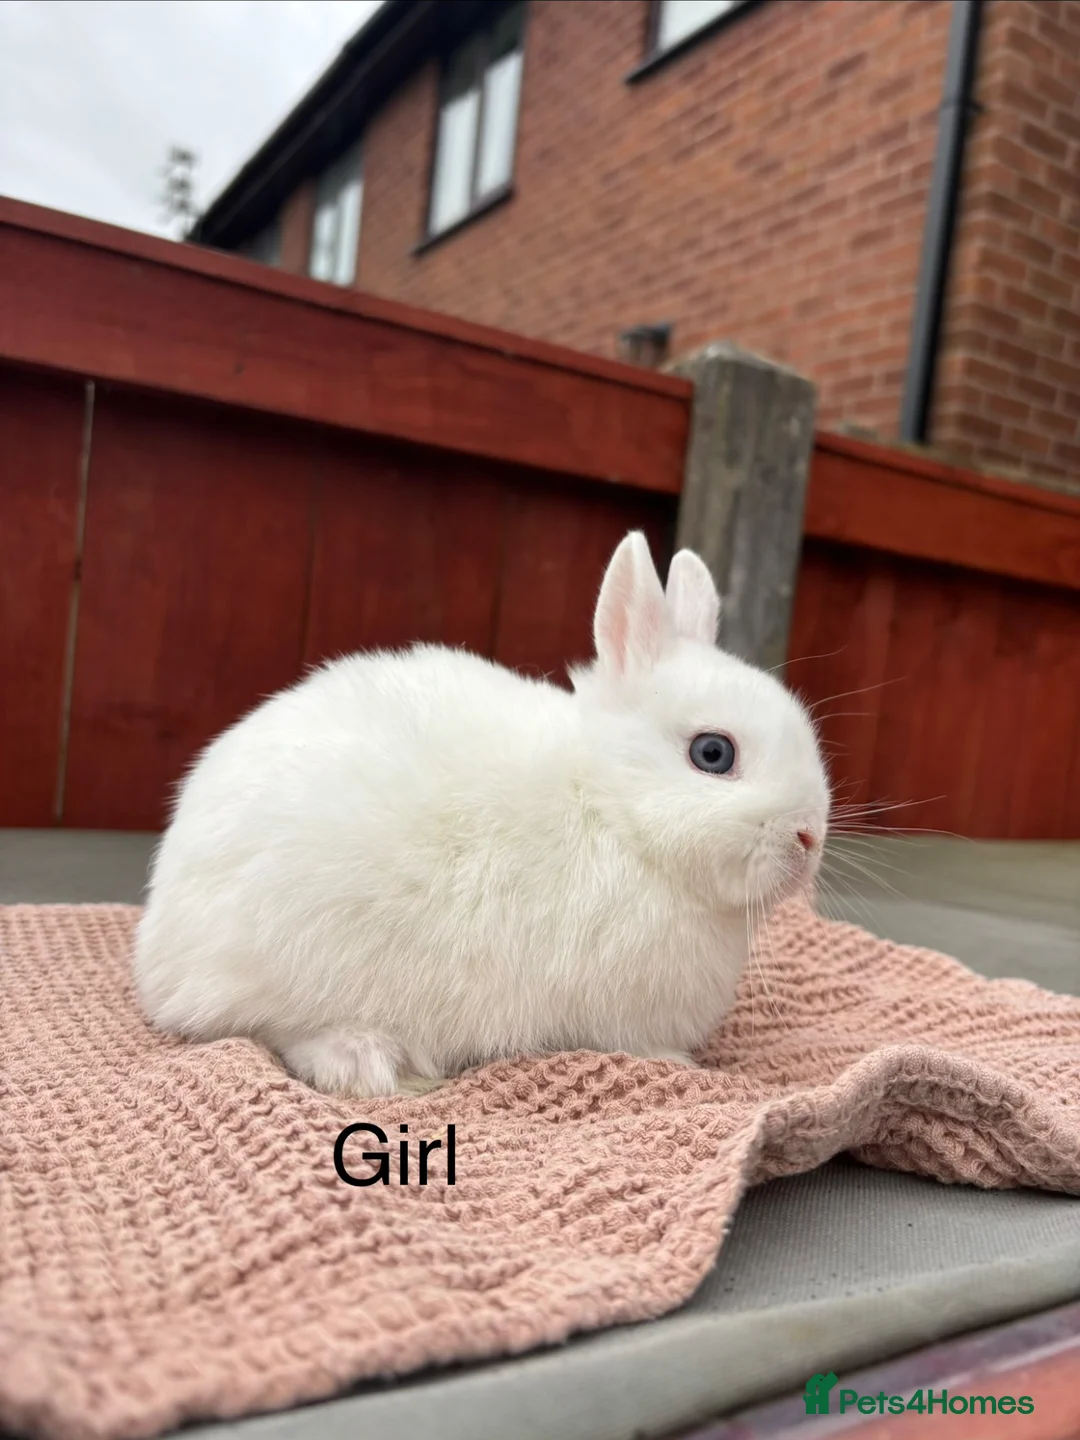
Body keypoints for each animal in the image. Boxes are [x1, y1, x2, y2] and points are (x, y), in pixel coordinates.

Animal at [133, 531, 830, 1099]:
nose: (808, 837)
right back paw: (365, 1061)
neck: (610, 810)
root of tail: (160, 953)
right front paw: (678, 1065)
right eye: (713, 753)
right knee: (273, 1031)